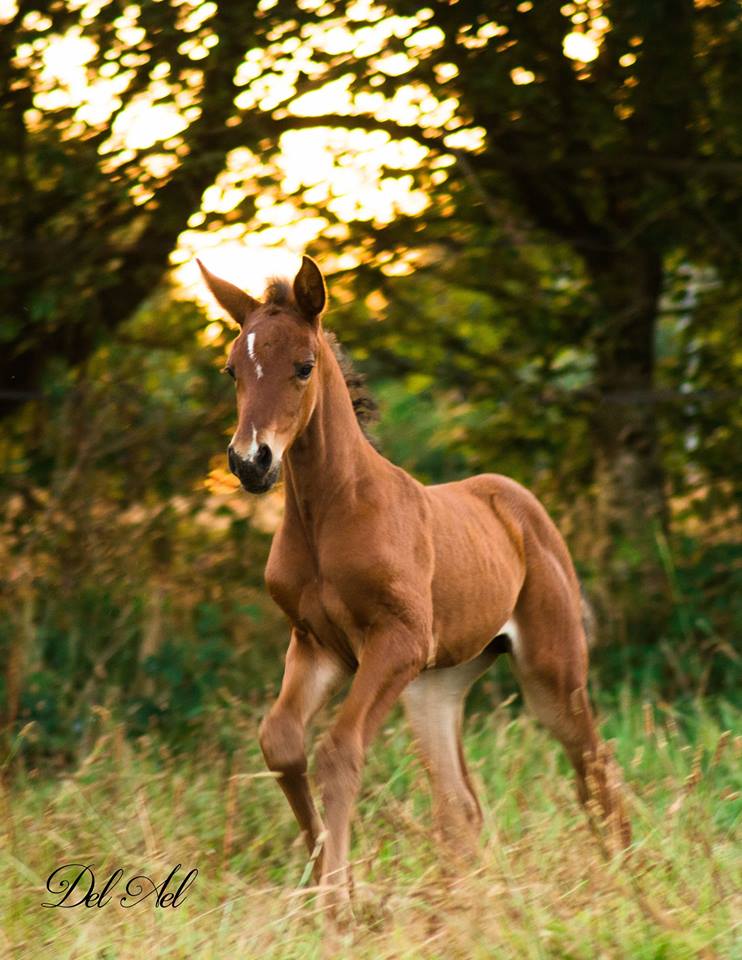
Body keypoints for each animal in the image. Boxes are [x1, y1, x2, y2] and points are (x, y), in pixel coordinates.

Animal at [199, 255, 632, 916]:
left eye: (303, 366)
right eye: (231, 369)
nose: (251, 463)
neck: (331, 512)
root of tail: (523, 506)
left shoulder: (396, 642)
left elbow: (338, 752)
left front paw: (338, 908)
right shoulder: (317, 646)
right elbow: (282, 742)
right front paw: (329, 886)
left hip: (551, 671)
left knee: (596, 768)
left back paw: (630, 884)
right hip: (436, 685)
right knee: (460, 805)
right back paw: (466, 913)